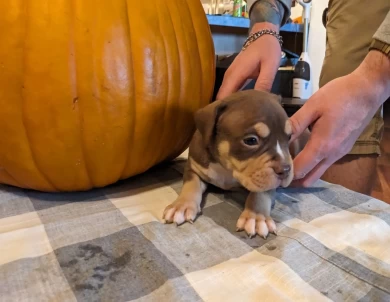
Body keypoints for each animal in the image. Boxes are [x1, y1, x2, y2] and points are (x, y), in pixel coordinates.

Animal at [161, 89, 308, 238]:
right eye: (251, 140)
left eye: (289, 137)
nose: (285, 170)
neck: (227, 167)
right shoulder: (194, 167)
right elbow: (191, 185)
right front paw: (182, 206)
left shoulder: (266, 181)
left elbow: (260, 193)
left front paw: (256, 217)